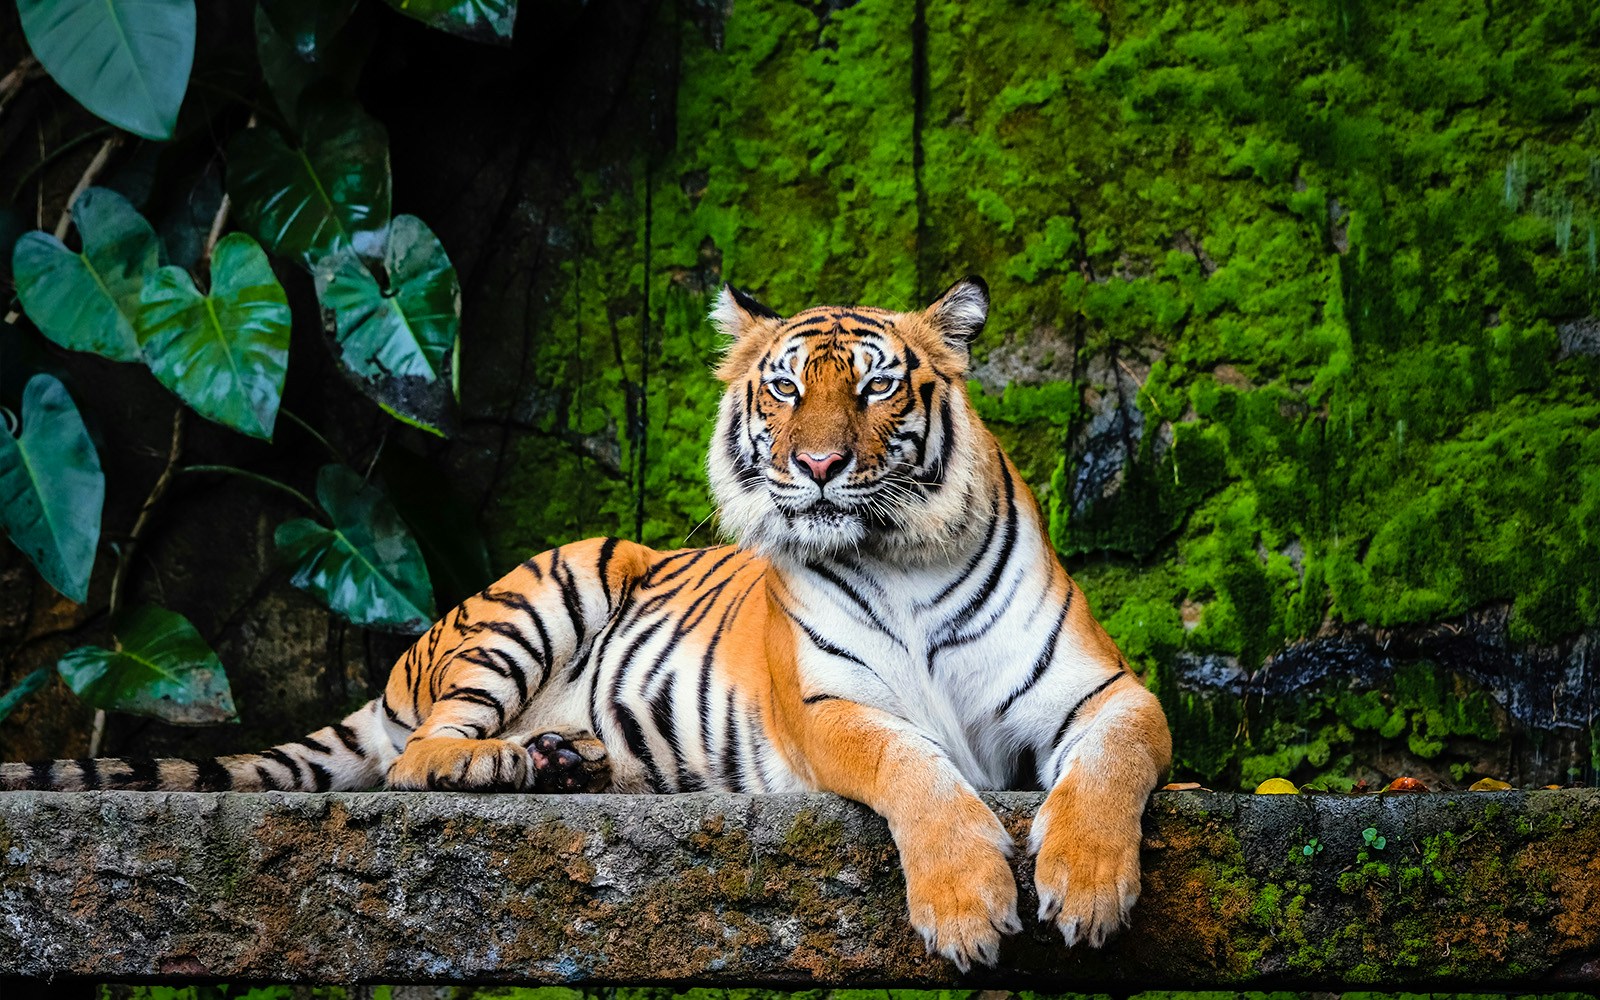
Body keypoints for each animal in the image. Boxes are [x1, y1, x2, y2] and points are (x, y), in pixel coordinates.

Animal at [2, 277, 1172, 969]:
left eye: (881, 388)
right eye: (785, 388)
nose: (819, 465)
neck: (898, 552)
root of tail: (403, 661)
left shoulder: (1105, 691)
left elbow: (1110, 766)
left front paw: (1086, 889)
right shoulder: (830, 707)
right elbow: (917, 770)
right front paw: (970, 907)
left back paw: (571, 759)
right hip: (549, 588)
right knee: (415, 759)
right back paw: (515, 762)